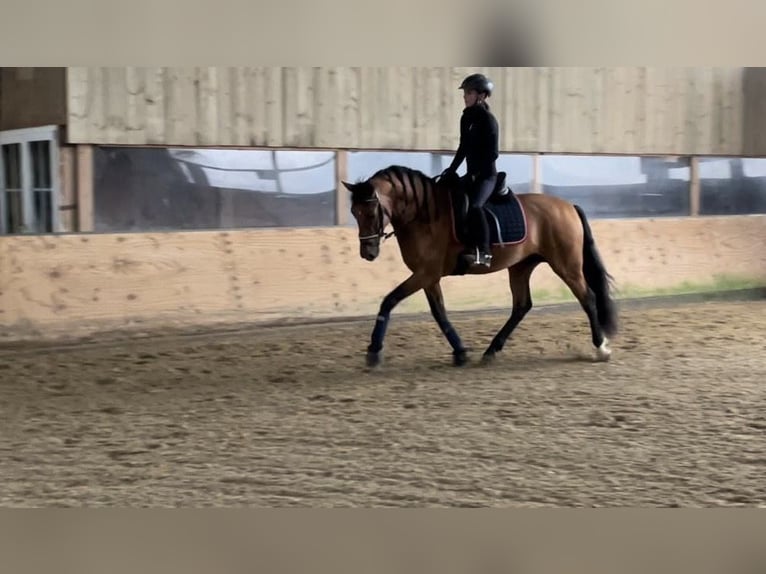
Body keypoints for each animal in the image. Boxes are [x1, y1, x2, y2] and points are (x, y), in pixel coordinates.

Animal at [344, 163, 620, 368]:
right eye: (354, 213)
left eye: (371, 212)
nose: (368, 252)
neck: (424, 215)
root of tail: (568, 206)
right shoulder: (429, 276)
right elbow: (439, 312)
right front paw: (461, 352)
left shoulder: (425, 273)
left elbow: (389, 300)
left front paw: (374, 351)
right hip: (521, 266)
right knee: (522, 306)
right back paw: (491, 351)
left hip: (566, 264)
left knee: (588, 298)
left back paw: (601, 348)